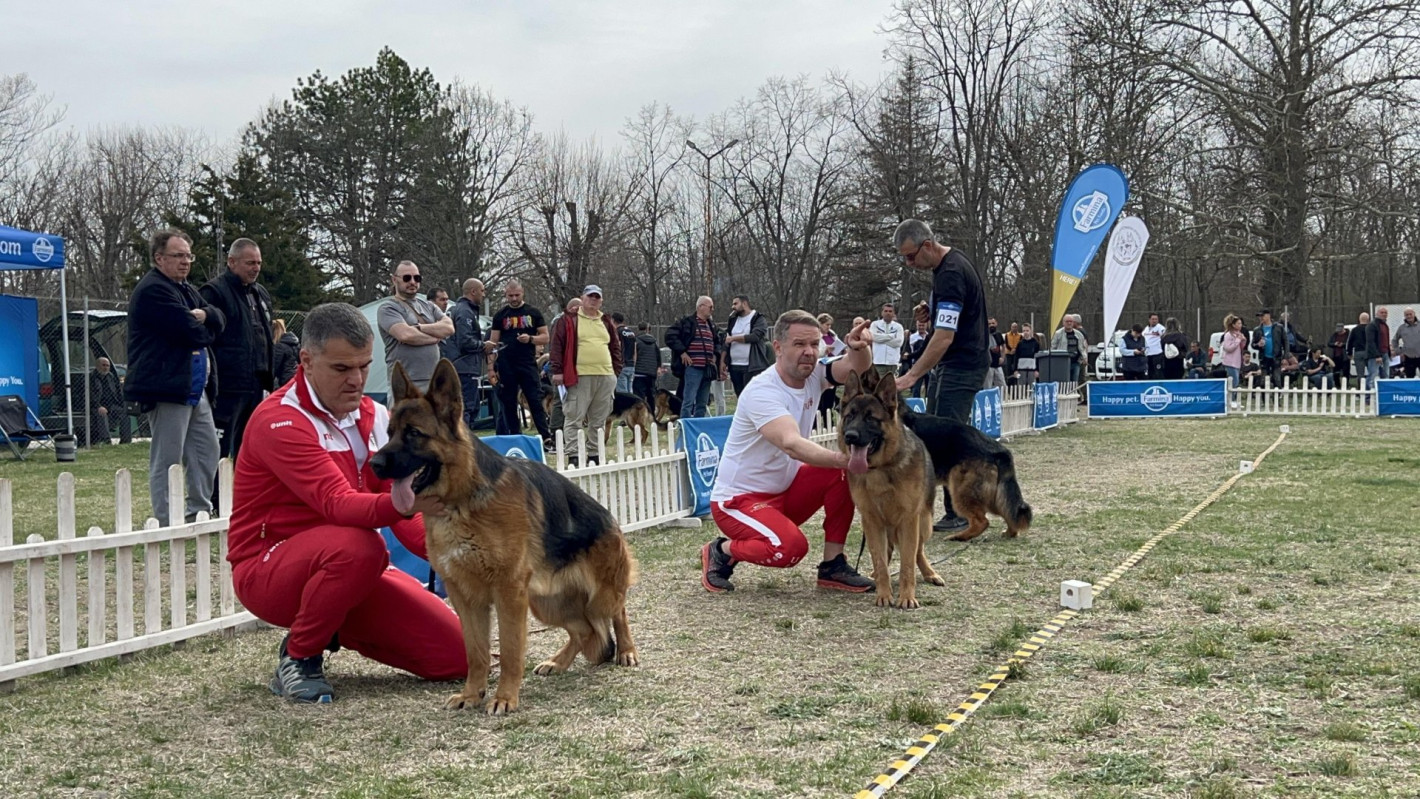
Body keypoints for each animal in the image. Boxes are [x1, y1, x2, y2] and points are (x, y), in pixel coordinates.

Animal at [377, 359, 644, 715]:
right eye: (389, 433)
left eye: (414, 434)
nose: (374, 463)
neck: (461, 502)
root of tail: (610, 520)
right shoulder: (465, 598)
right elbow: (476, 653)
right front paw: (472, 694)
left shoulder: (507, 593)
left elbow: (509, 651)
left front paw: (504, 697)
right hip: (545, 604)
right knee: (586, 632)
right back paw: (558, 662)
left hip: (598, 595)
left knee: (618, 612)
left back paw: (626, 650)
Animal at [834, 371, 948, 610]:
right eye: (849, 416)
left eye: (871, 418)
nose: (850, 436)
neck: (880, 469)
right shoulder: (871, 520)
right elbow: (880, 562)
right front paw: (884, 594)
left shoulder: (909, 520)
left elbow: (907, 564)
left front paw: (907, 597)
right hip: (879, 529)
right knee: (885, 555)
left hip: (924, 524)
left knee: (918, 552)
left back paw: (930, 573)